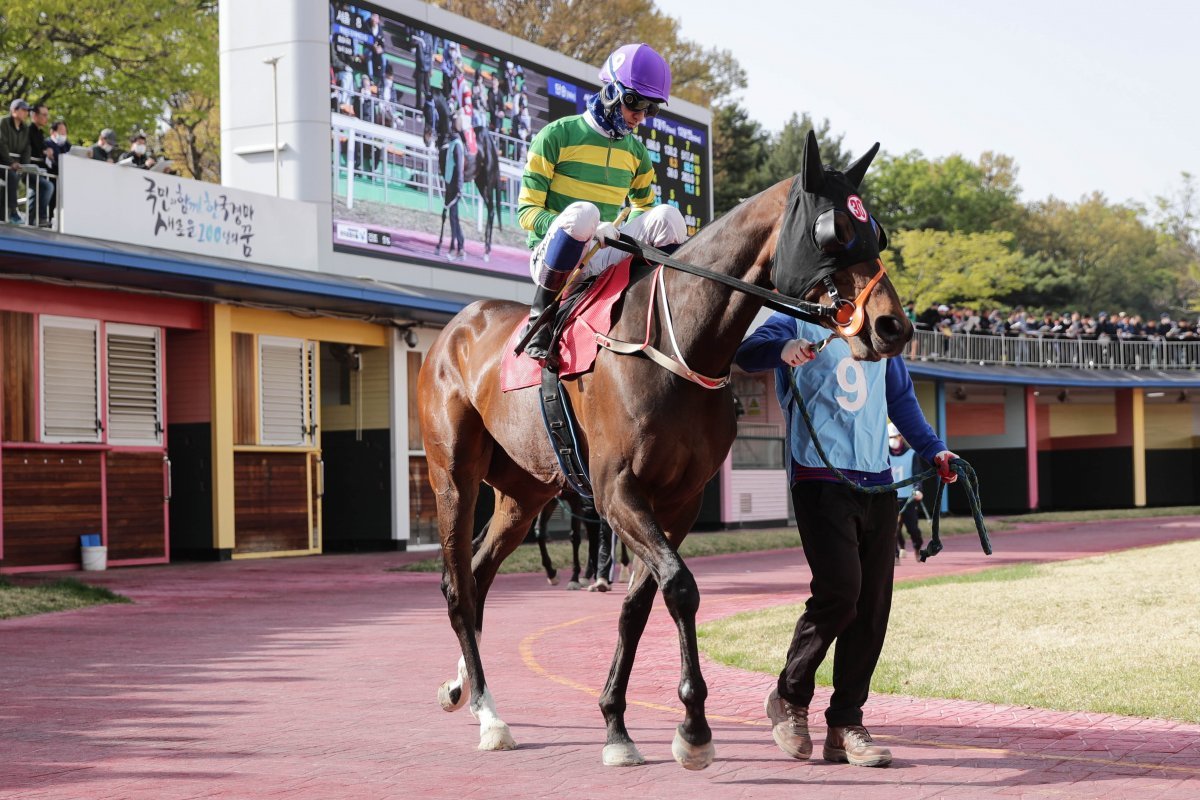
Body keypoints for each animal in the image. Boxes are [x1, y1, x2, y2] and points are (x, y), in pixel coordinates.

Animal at [417, 131, 912, 767]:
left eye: (876, 232)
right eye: (833, 232)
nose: (893, 327)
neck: (676, 346)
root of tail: (457, 327)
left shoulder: (678, 500)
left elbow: (637, 607)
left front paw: (616, 724)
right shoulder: (616, 492)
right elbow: (680, 587)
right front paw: (694, 726)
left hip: (524, 493)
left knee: (478, 575)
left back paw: (461, 686)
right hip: (453, 474)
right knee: (458, 585)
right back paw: (488, 713)